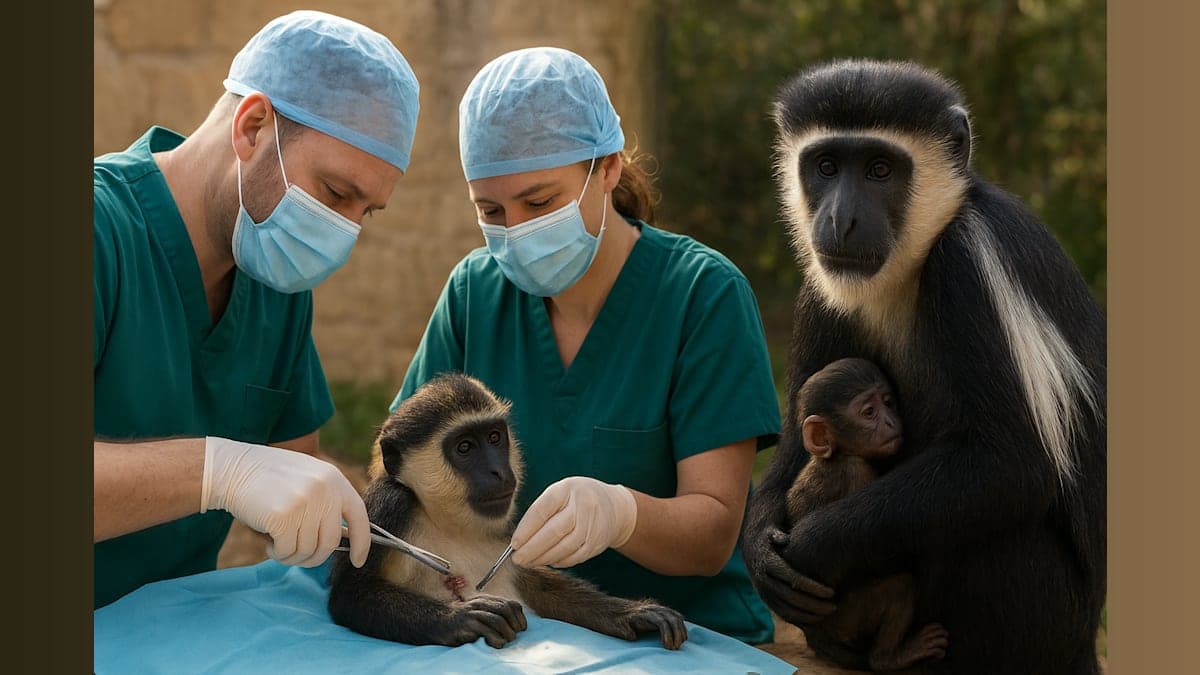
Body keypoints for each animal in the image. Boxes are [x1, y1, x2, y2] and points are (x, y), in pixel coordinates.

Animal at [328, 373, 688, 650]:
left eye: (494, 437)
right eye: (465, 447)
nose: (499, 472)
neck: (446, 523)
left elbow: (537, 585)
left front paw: (632, 613)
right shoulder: (389, 505)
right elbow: (349, 594)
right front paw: (459, 618)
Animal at [779, 357, 947, 672]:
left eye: (888, 402)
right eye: (869, 413)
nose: (891, 421)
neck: (838, 455)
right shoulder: (856, 471)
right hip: (851, 618)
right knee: (900, 586)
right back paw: (889, 657)